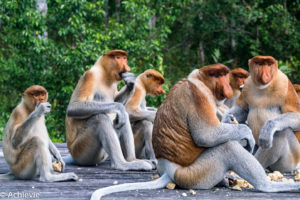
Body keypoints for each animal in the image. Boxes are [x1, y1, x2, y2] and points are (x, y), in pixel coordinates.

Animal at [89, 64, 300, 200]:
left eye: (225, 75)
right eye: (218, 75)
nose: (228, 87)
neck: (198, 81)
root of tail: (168, 169)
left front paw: (230, 120)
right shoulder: (199, 96)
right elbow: (206, 135)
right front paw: (245, 132)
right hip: (194, 174)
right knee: (227, 148)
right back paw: (270, 186)